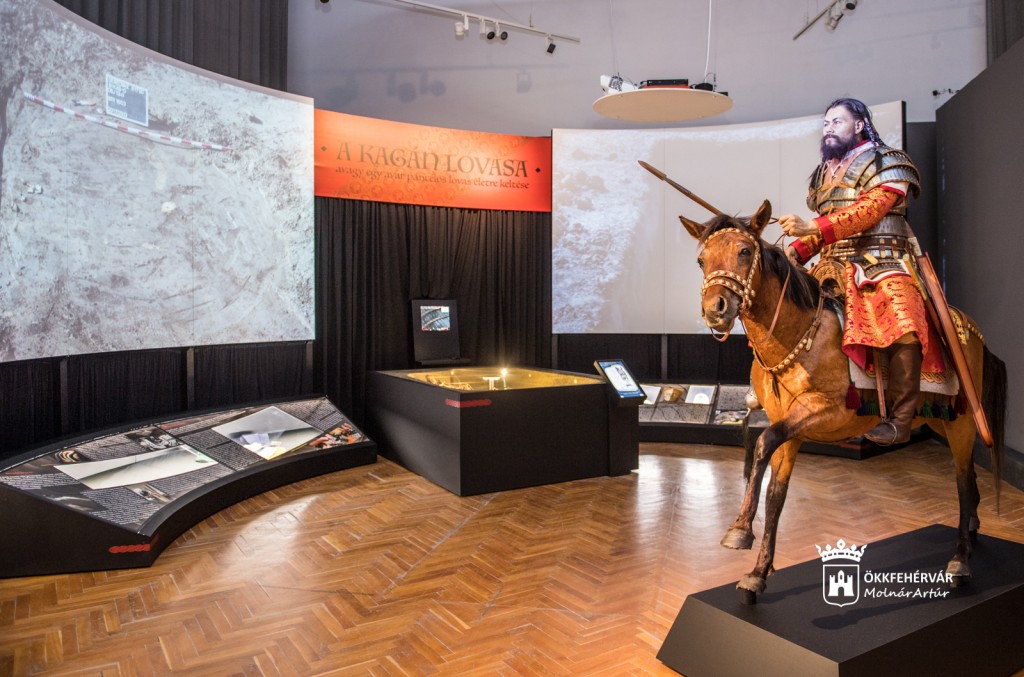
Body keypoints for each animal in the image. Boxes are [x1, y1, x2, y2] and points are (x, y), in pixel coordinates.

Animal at [680, 199, 1007, 605]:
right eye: (701, 260)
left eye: (744, 251)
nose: (716, 308)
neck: (799, 335)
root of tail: (972, 331)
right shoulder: (788, 424)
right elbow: (776, 492)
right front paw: (758, 572)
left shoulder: (825, 411)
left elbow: (762, 444)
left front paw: (739, 530)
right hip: (940, 419)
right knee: (971, 481)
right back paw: (973, 531)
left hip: (962, 422)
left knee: (963, 479)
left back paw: (961, 558)